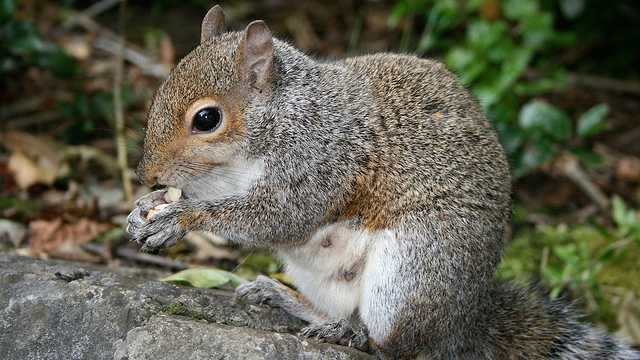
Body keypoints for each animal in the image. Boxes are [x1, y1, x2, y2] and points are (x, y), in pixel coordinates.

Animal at [126, 4, 640, 360]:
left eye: (206, 119)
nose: (146, 174)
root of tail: (464, 319)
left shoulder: (321, 158)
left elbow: (279, 217)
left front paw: (181, 216)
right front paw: (146, 208)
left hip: (410, 274)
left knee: (391, 345)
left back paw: (347, 334)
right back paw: (290, 301)